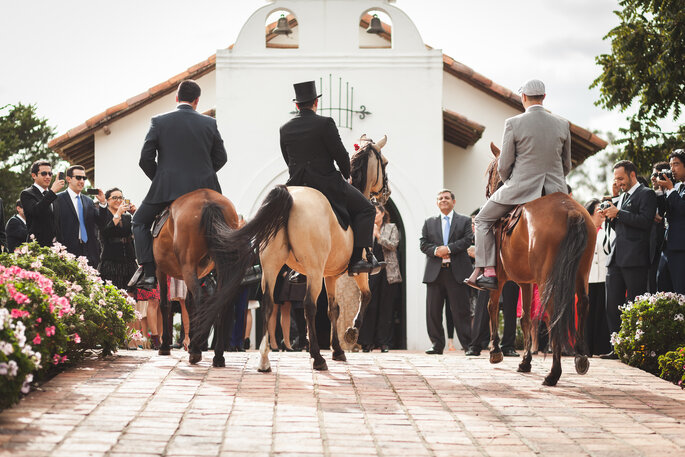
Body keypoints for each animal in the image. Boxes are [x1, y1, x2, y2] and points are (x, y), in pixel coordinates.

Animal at [153, 187, 243, 366]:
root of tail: (208, 200)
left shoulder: (160, 269)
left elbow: (165, 304)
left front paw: (165, 345)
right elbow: (189, 305)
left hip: (187, 266)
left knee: (201, 300)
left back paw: (196, 350)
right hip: (222, 266)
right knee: (219, 301)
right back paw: (218, 355)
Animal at [200, 134, 388, 370]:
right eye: (385, 163)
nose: (386, 194)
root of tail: (289, 196)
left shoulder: (330, 275)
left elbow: (333, 309)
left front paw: (337, 350)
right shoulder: (357, 272)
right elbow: (365, 296)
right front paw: (351, 332)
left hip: (272, 264)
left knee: (268, 303)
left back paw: (260, 360)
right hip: (313, 270)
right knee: (309, 305)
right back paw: (317, 357)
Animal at [484, 142, 596, 384]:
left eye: (489, 171)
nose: (489, 192)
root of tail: (570, 210)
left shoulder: (500, 277)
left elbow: (493, 306)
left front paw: (495, 351)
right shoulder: (527, 283)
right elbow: (526, 318)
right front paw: (525, 361)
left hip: (548, 281)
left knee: (553, 313)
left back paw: (554, 373)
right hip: (581, 272)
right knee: (582, 303)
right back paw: (580, 357)